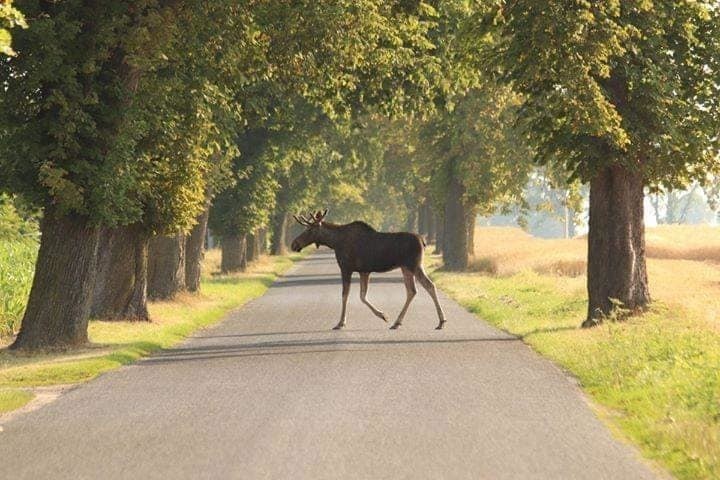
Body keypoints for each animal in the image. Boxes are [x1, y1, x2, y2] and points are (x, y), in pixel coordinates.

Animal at [292, 210, 448, 330]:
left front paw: (341, 322)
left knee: (429, 285)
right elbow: (362, 296)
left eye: (309, 229)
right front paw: (383, 315)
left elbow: (345, 295)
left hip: (414, 265)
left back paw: (441, 321)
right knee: (412, 291)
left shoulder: (346, 268)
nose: (294, 244)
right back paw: (397, 322)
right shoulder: (364, 271)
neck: (334, 242)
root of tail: (423, 241)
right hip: (406, 268)